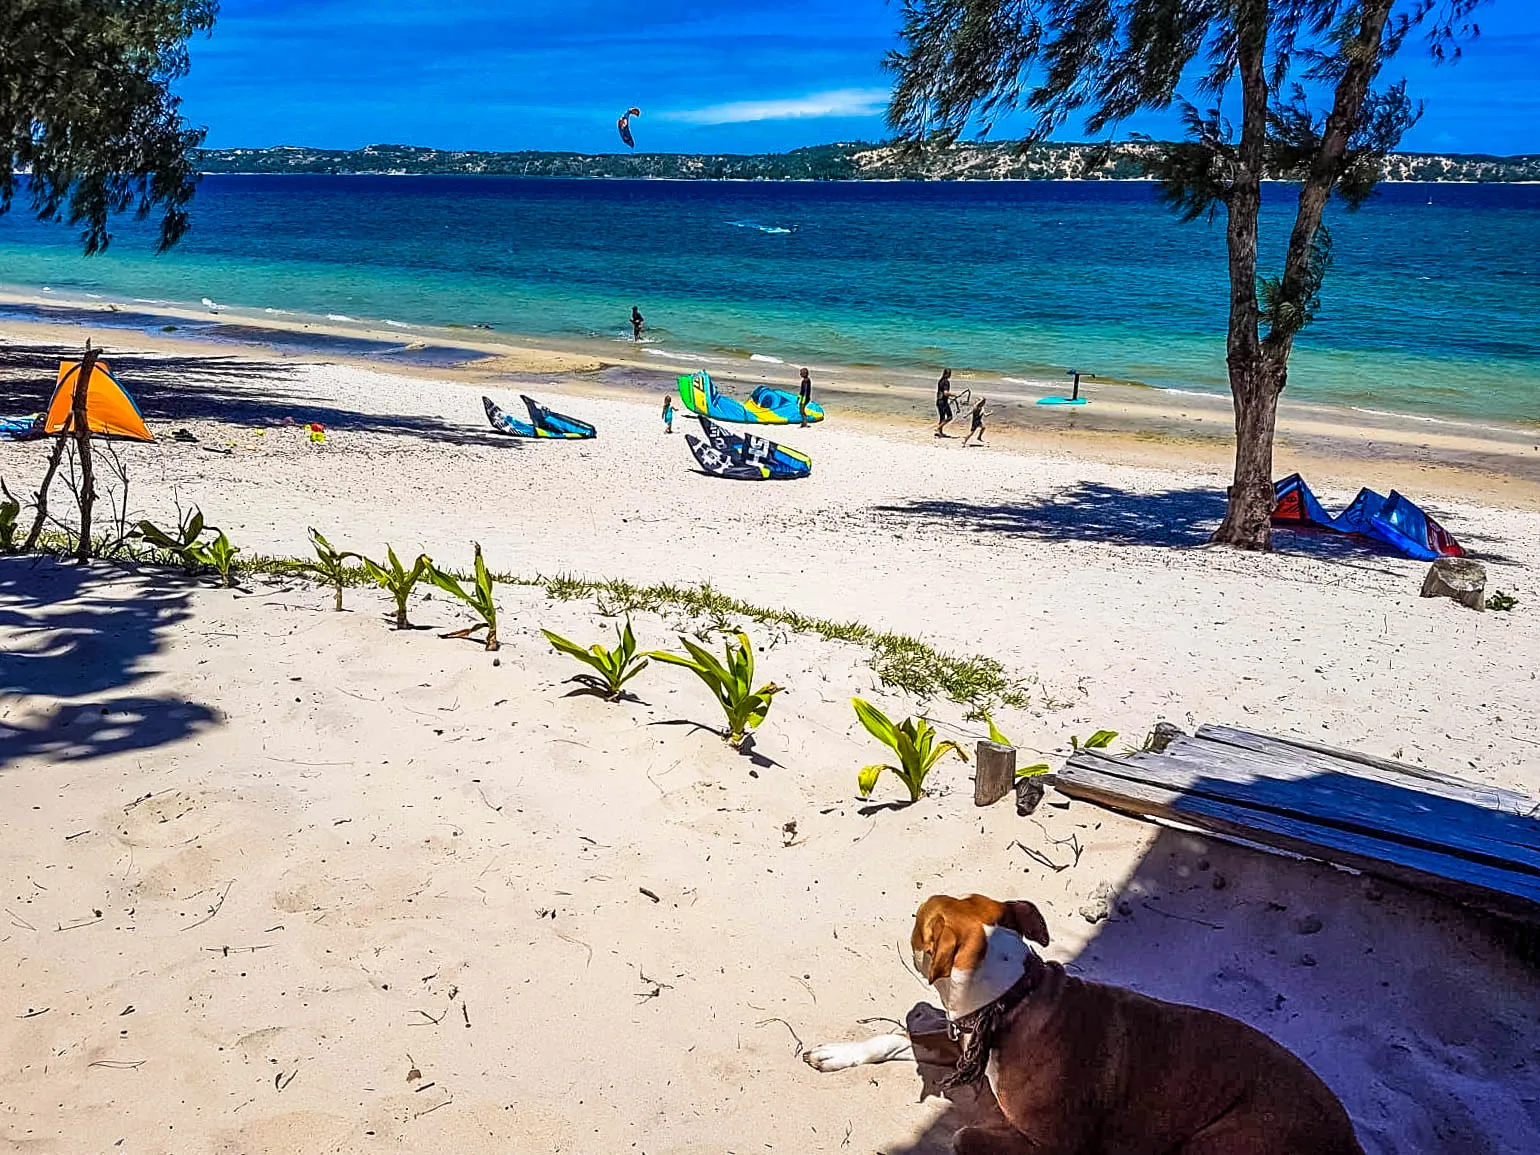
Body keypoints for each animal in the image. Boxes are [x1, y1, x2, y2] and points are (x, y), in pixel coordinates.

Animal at [806, 899, 1361, 1155]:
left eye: (919, 923)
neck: (1010, 1001)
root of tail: (1350, 1141)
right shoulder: (962, 1044)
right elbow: (897, 1038)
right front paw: (838, 1053)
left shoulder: (1057, 1145)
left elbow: (965, 1134)